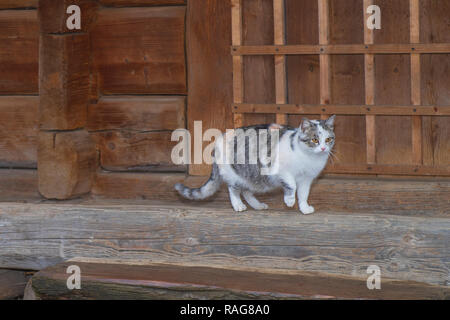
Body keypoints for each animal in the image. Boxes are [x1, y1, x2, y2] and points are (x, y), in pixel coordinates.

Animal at [174, 115, 336, 215]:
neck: (309, 158)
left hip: (253, 178)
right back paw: (238, 205)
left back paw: (257, 205)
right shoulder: (279, 169)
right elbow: (291, 184)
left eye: (328, 139)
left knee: (246, 191)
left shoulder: (306, 179)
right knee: (233, 190)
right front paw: (289, 200)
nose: (323, 148)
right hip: (235, 174)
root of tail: (219, 139)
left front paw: (304, 208)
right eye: (315, 140)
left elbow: (303, 194)